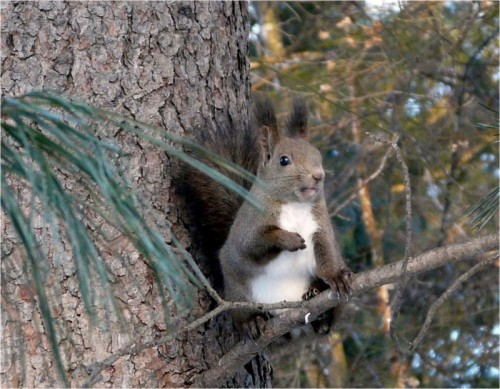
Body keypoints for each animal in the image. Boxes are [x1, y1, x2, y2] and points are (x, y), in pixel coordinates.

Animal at [178, 95, 354, 332]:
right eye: (284, 160)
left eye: (317, 156)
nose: (319, 175)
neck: (294, 204)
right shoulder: (250, 223)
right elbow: (253, 243)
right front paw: (289, 239)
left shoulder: (320, 226)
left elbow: (326, 252)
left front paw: (336, 277)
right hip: (239, 294)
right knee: (245, 314)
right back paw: (253, 321)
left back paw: (317, 300)